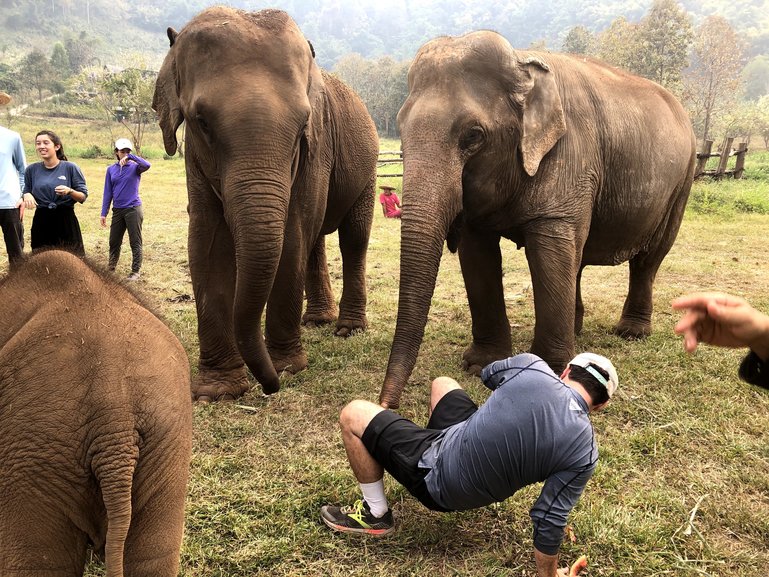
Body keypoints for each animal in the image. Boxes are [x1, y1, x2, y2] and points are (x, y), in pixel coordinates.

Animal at [152, 6, 378, 400]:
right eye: (201, 121)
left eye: (303, 122)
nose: (269, 386)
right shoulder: (193, 158)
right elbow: (206, 241)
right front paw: (218, 391)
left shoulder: (317, 147)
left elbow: (293, 233)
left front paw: (287, 368)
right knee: (316, 241)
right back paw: (317, 321)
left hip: (368, 170)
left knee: (353, 238)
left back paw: (346, 329)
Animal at [378, 31, 696, 408]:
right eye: (399, 128)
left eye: (473, 135)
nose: (387, 402)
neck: (521, 61)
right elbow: (478, 255)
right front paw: (479, 364)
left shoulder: (571, 155)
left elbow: (548, 251)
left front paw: (550, 367)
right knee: (577, 258)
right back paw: (577, 329)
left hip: (682, 180)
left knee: (649, 258)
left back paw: (631, 333)